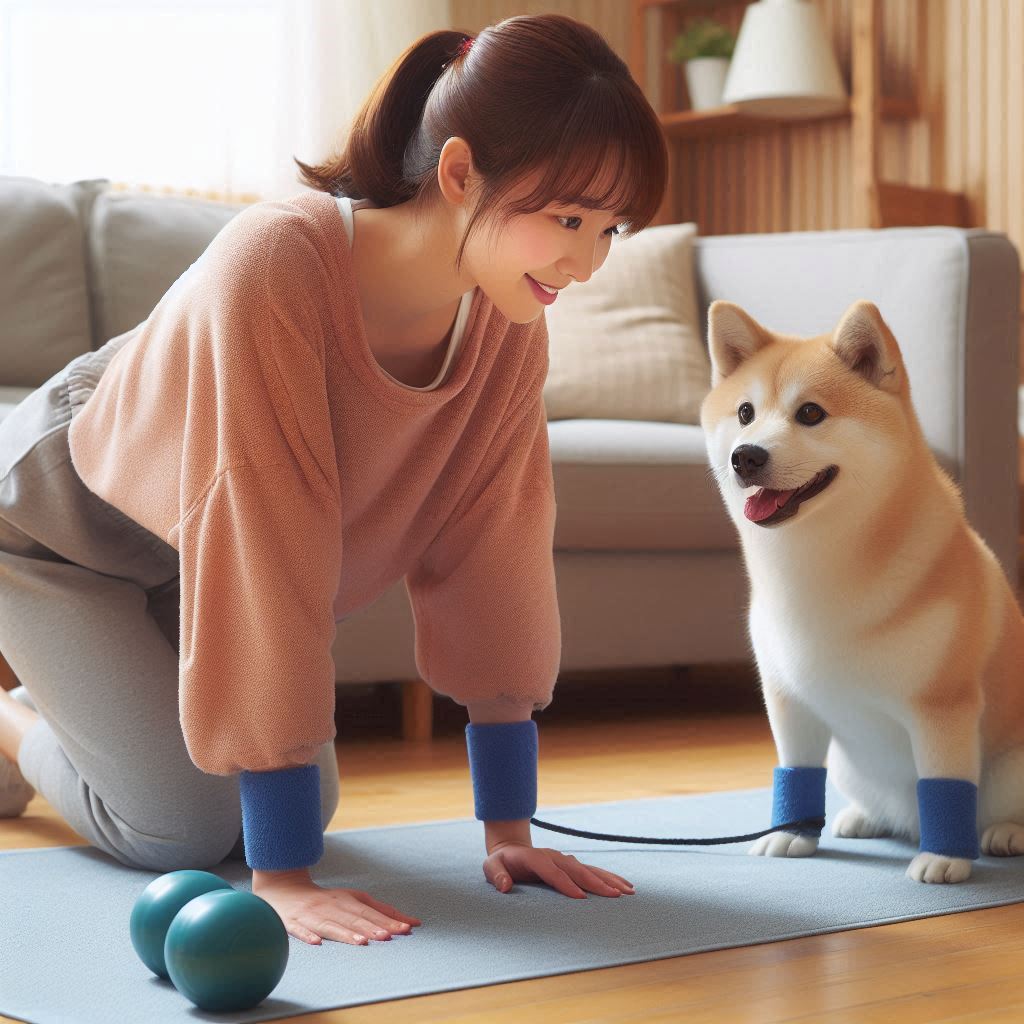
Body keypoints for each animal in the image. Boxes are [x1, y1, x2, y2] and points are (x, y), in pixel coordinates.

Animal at [700, 296, 1024, 880]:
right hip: (848, 766)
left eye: (810, 413)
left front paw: (945, 858)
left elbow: (945, 784)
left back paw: (1004, 832)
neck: (813, 569)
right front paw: (793, 832)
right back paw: (864, 817)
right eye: (744, 413)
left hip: (1011, 769)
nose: (746, 456)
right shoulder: (789, 701)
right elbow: (796, 770)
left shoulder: (942, 705)